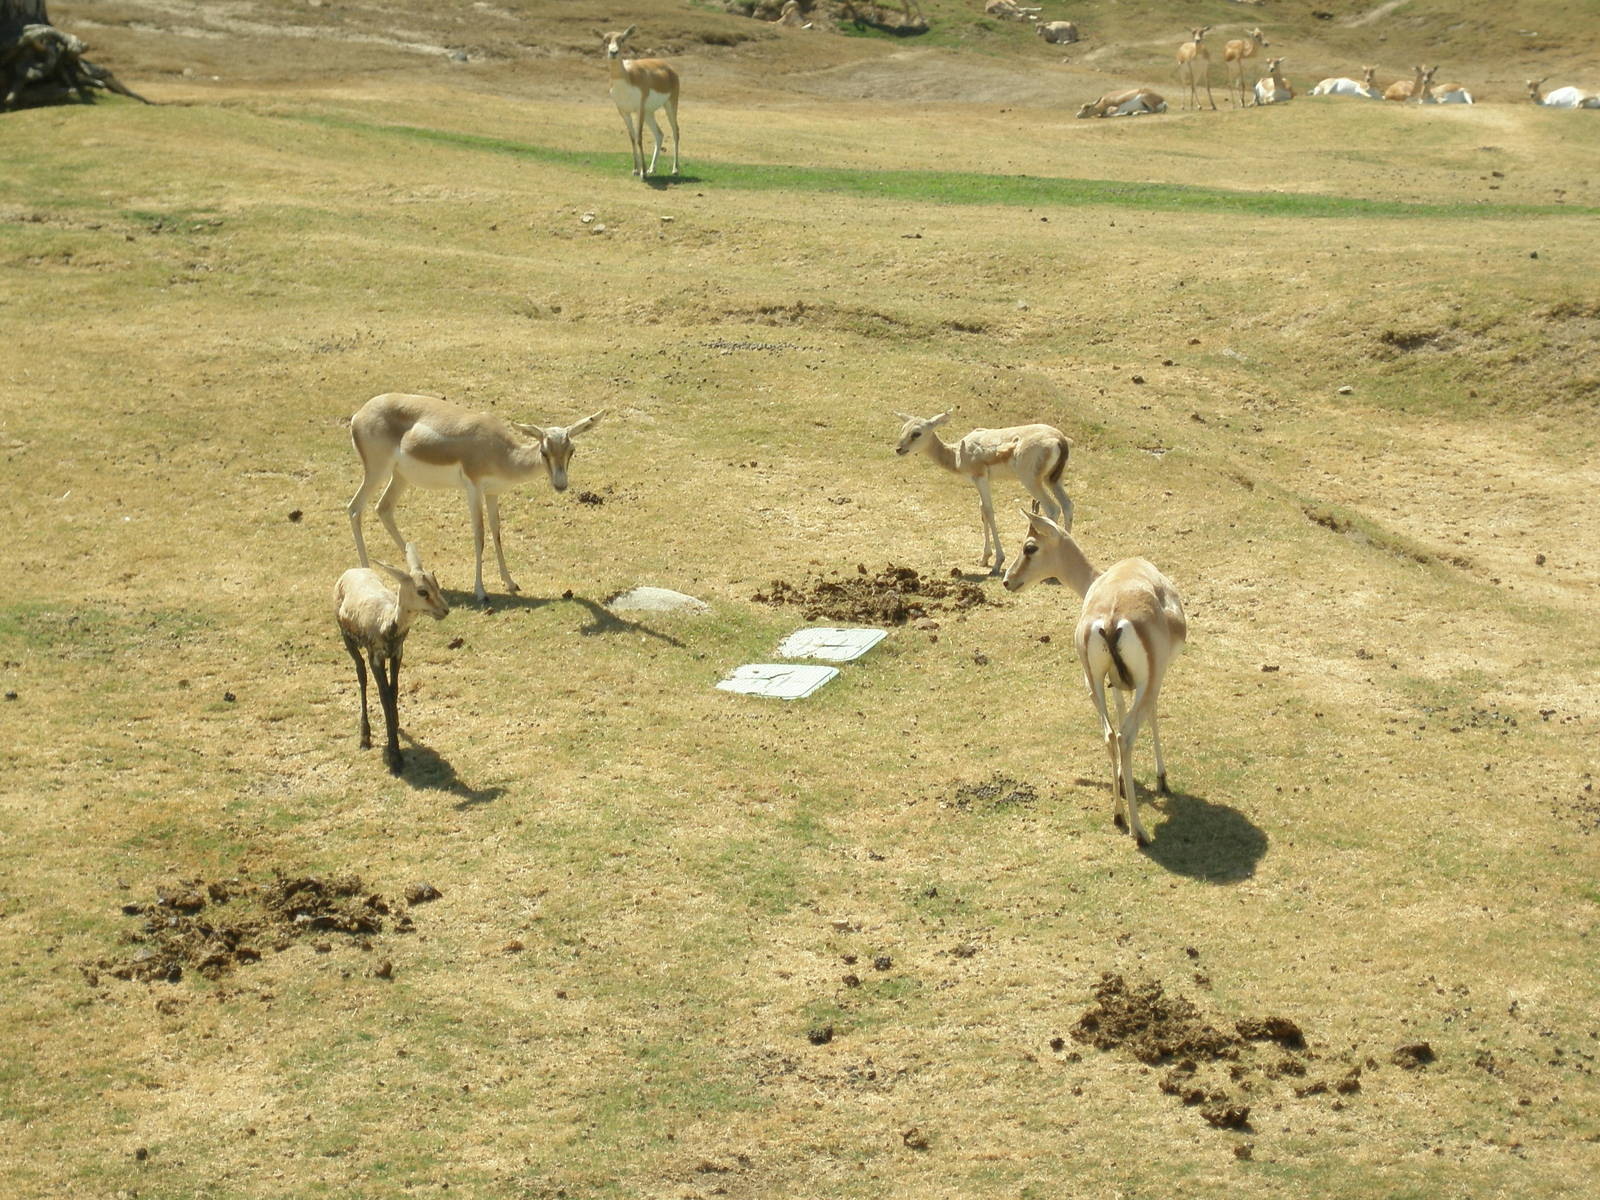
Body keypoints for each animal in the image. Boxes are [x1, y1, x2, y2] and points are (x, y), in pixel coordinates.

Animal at [334, 544, 450, 775]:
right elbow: (384, 695)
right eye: (422, 591)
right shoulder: (376, 658)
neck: (386, 623)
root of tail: (352, 571)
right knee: (361, 675)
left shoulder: (397, 653)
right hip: (349, 642)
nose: (445, 610)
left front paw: (395, 724)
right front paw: (395, 757)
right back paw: (365, 737)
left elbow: (393, 690)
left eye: (436, 583)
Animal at [347, 393, 605, 606]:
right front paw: (481, 591)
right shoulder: (473, 487)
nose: (561, 485)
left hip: (400, 477)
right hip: (377, 471)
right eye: (544, 451)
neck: (499, 451)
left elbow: (496, 531)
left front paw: (510, 582)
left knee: (383, 508)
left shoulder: (492, 492)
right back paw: (367, 572)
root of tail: (359, 414)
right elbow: (479, 534)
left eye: (571, 450)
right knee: (355, 508)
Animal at [599, 26, 680, 179]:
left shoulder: (639, 110)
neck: (627, 78)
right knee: (659, 134)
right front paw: (636, 169)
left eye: (622, 39)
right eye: (605, 40)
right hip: (649, 113)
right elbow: (632, 138)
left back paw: (675, 169)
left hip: (670, 105)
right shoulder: (624, 112)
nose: (613, 52)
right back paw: (652, 169)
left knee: (676, 131)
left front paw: (642, 172)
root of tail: (669, 68)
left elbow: (639, 137)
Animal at [894, 410, 1072, 573]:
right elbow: (982, 511)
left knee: (1052, 509)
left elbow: (988, 511)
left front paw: (997, 562)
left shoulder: (980, 479)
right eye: (903, 428)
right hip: (1053, 480)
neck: (958, 454)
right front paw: (984, 558)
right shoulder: (983, 482)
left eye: (916, 433)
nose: (899, 449)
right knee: (1067, 506)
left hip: (1031, 481)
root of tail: (1059, 439)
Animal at [1002, 508, 1187, 847]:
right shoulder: (1155, 678)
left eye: (1029, 547)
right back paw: (1138, 830)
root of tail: (1111, 618)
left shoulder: (1113, 681)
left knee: (1109, 735)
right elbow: (1153, 715)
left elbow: (1119, 710)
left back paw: (1118, 816)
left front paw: (1124, 785)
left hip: (1093, 682)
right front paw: (1162, 778)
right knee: (1125, 736)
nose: (1008, 580)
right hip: (1145, 682)